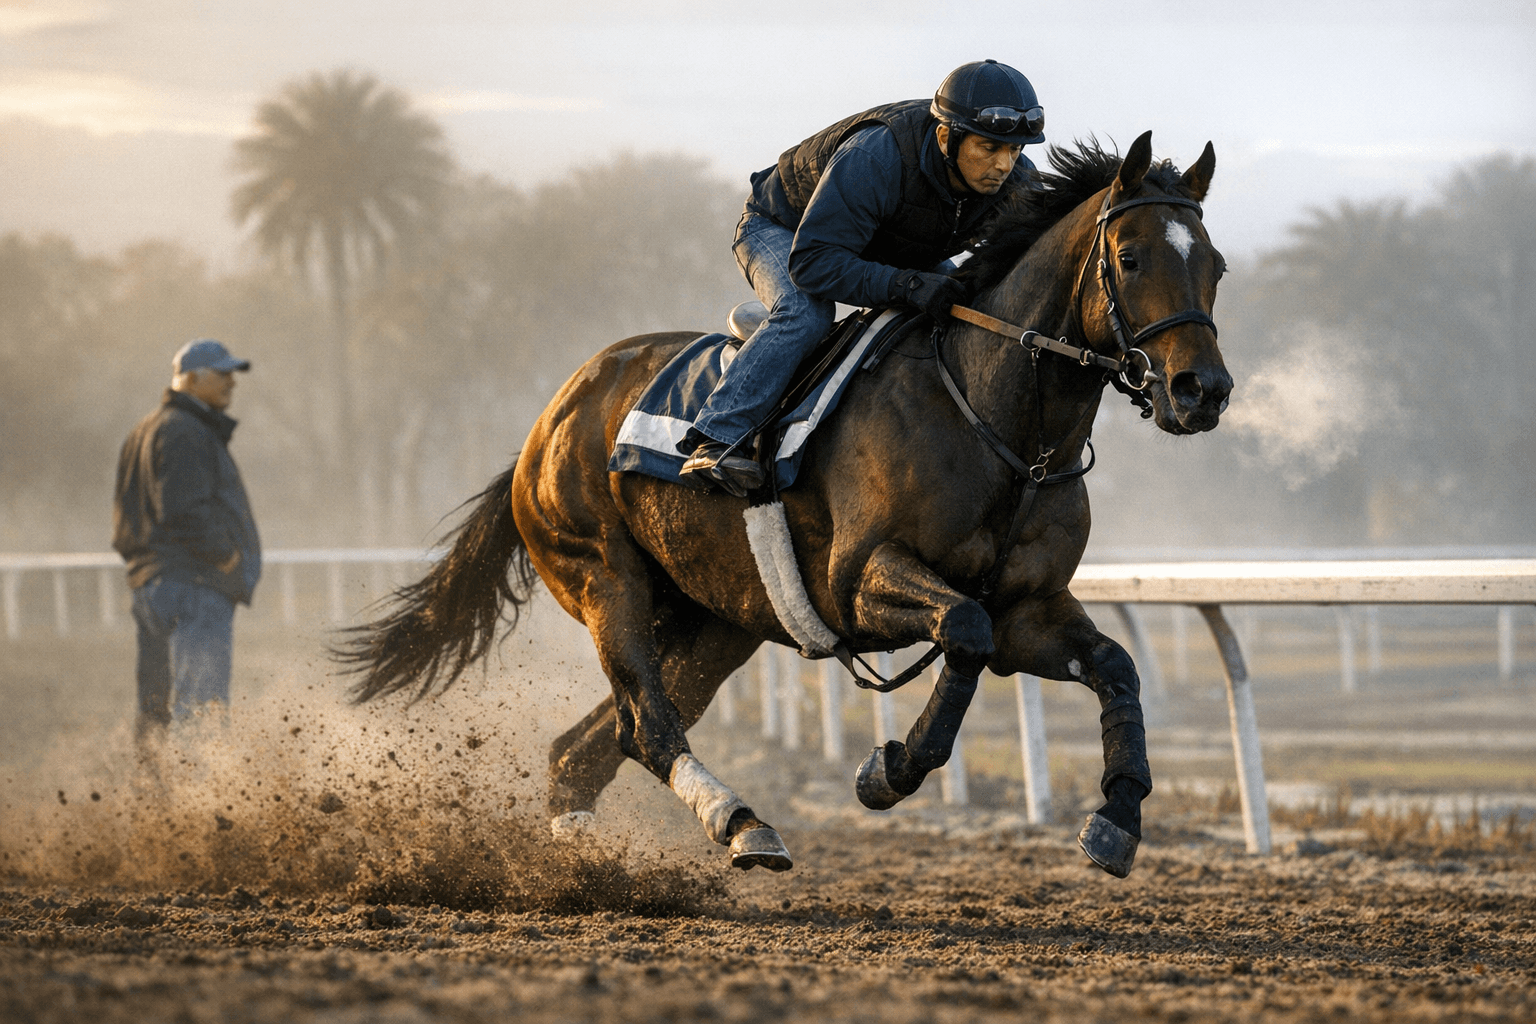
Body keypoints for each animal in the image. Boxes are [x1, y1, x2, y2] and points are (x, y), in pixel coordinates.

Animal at [339, 131, 1232, 879]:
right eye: (1131, 257)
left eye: (1216, 266)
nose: (1203, 390)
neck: (997, 422)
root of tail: (547, 421)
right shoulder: (859, 579)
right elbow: (964, 631)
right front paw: (888, 770)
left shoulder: (1030, 606)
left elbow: (1111, 667)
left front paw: (1117, 818)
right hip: (602, 576)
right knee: (646, 724)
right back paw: (743, 826)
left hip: (714, 619)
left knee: (589, 747)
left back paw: (593, 857)